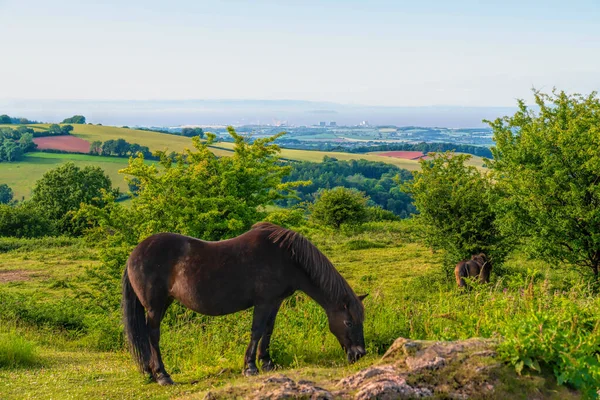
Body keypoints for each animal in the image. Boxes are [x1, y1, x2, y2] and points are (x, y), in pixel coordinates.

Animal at [120, 222, 366, 384]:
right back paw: (162, 375)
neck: (287, 258)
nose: (359, 355)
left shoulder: (275, 302)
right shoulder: (263, 302)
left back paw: (150, 372)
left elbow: (268, 330)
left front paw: (266, 362)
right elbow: (257, 331)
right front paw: (250, 367)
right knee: (152, 336)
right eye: (349, 322)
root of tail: (134, 254)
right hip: (155, 307)